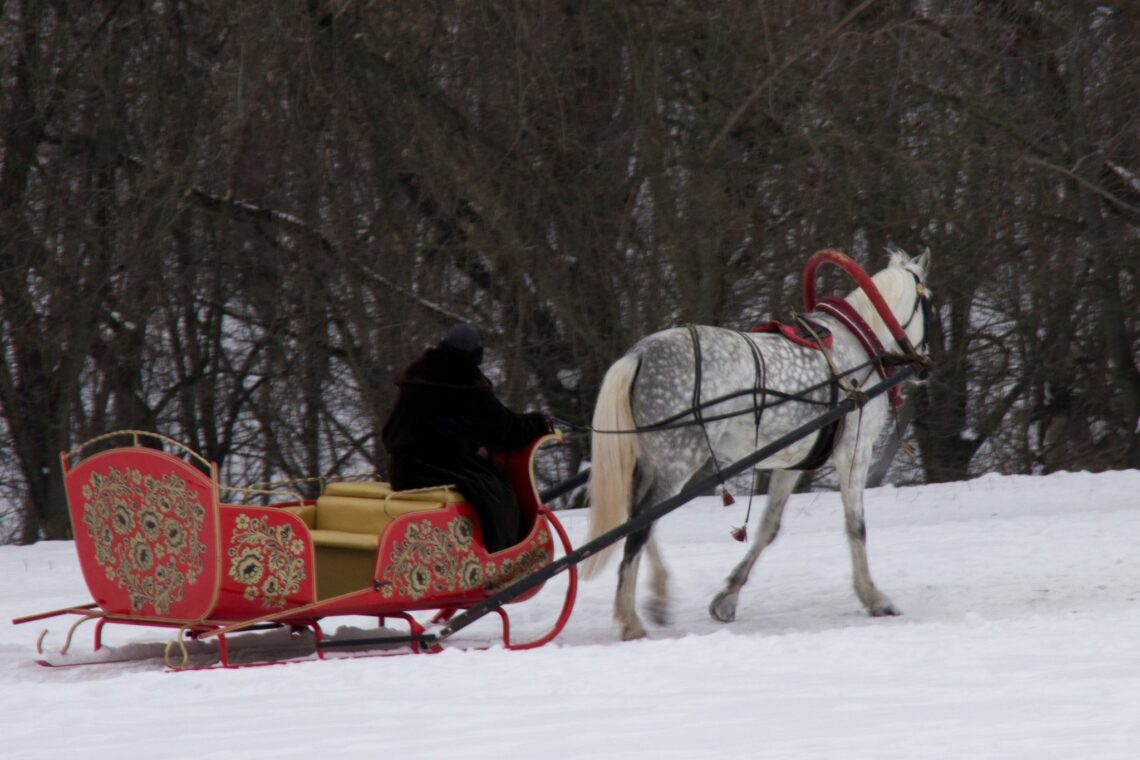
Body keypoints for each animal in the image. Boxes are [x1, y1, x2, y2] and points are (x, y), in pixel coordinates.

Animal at [580, 249, 932, 640]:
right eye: (930, 303)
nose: (924, 363)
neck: (860, 346)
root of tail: (638, 354)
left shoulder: (791, 462)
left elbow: (768, 528)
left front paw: (727, 597)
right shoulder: (854, 451)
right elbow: (857, 525)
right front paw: (873, 597)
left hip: (651, 463)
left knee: (639, 520)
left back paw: (657, 597)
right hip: (677, 462)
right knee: (639, 528)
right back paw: (631, 620)